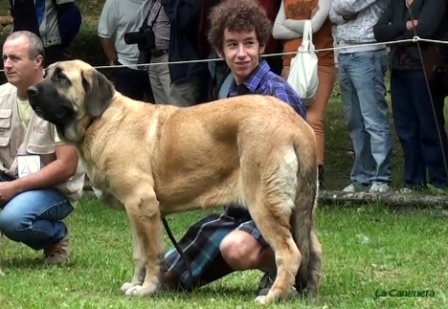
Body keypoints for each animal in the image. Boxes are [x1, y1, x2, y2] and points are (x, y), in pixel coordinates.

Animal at [26, 59, 322, 304]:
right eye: (46, 73)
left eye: (61, 78)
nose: (30, 90)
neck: (100, 121)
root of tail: (297, 125)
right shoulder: (135, 213)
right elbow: (139, 254)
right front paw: (135, 285)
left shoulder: (142, 205)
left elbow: (151, 255)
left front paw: (146, 289)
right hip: (299, 209)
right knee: (312, 249)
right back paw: (307, 292)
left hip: (264, 204)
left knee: (290, 253)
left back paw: (272, 296)